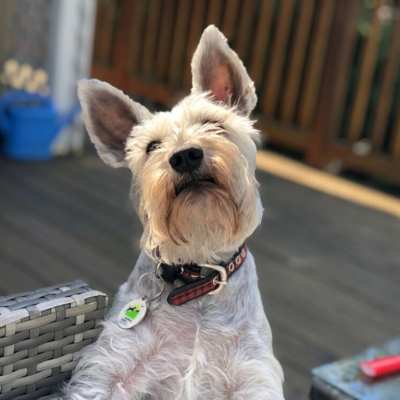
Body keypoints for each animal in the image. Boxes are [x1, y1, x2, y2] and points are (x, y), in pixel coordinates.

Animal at [65, 25, 284, 400]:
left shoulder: (253, 375)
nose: (184, 156)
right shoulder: (108, 367)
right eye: (152, 146)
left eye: (214, 123)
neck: (195, 280)